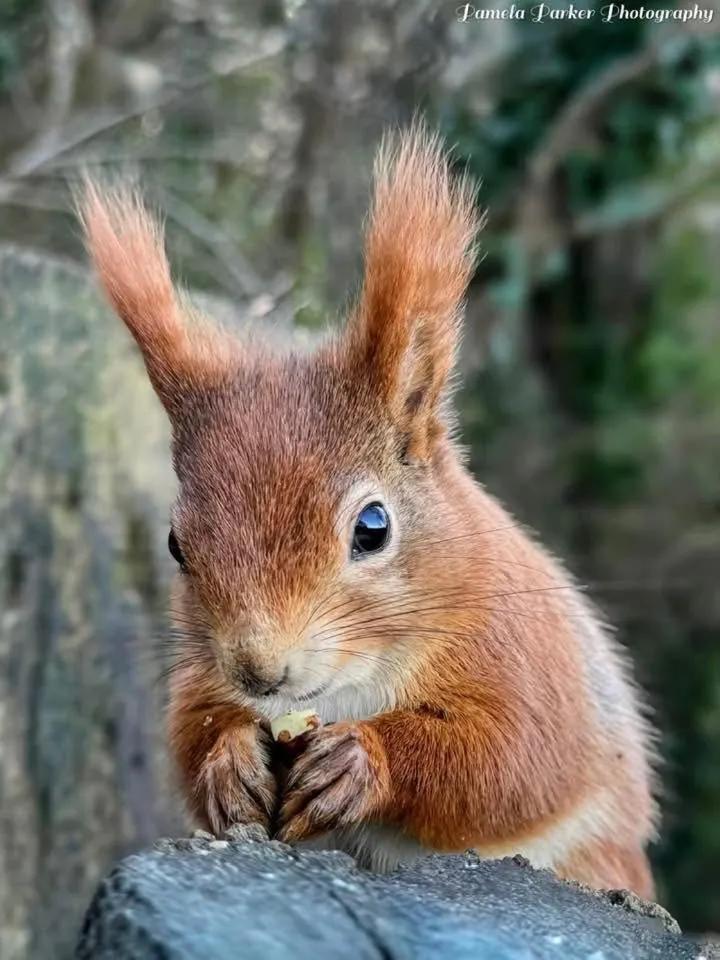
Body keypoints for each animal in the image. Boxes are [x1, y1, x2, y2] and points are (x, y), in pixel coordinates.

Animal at [77, 122, 659, 900]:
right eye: (175, 544)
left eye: (373, 528)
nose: (259, 671)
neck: (354, 684)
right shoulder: (200, 674)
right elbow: (191, 733)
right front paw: (231, 762)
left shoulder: (526, 657)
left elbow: (508, 759)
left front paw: (361, 760)